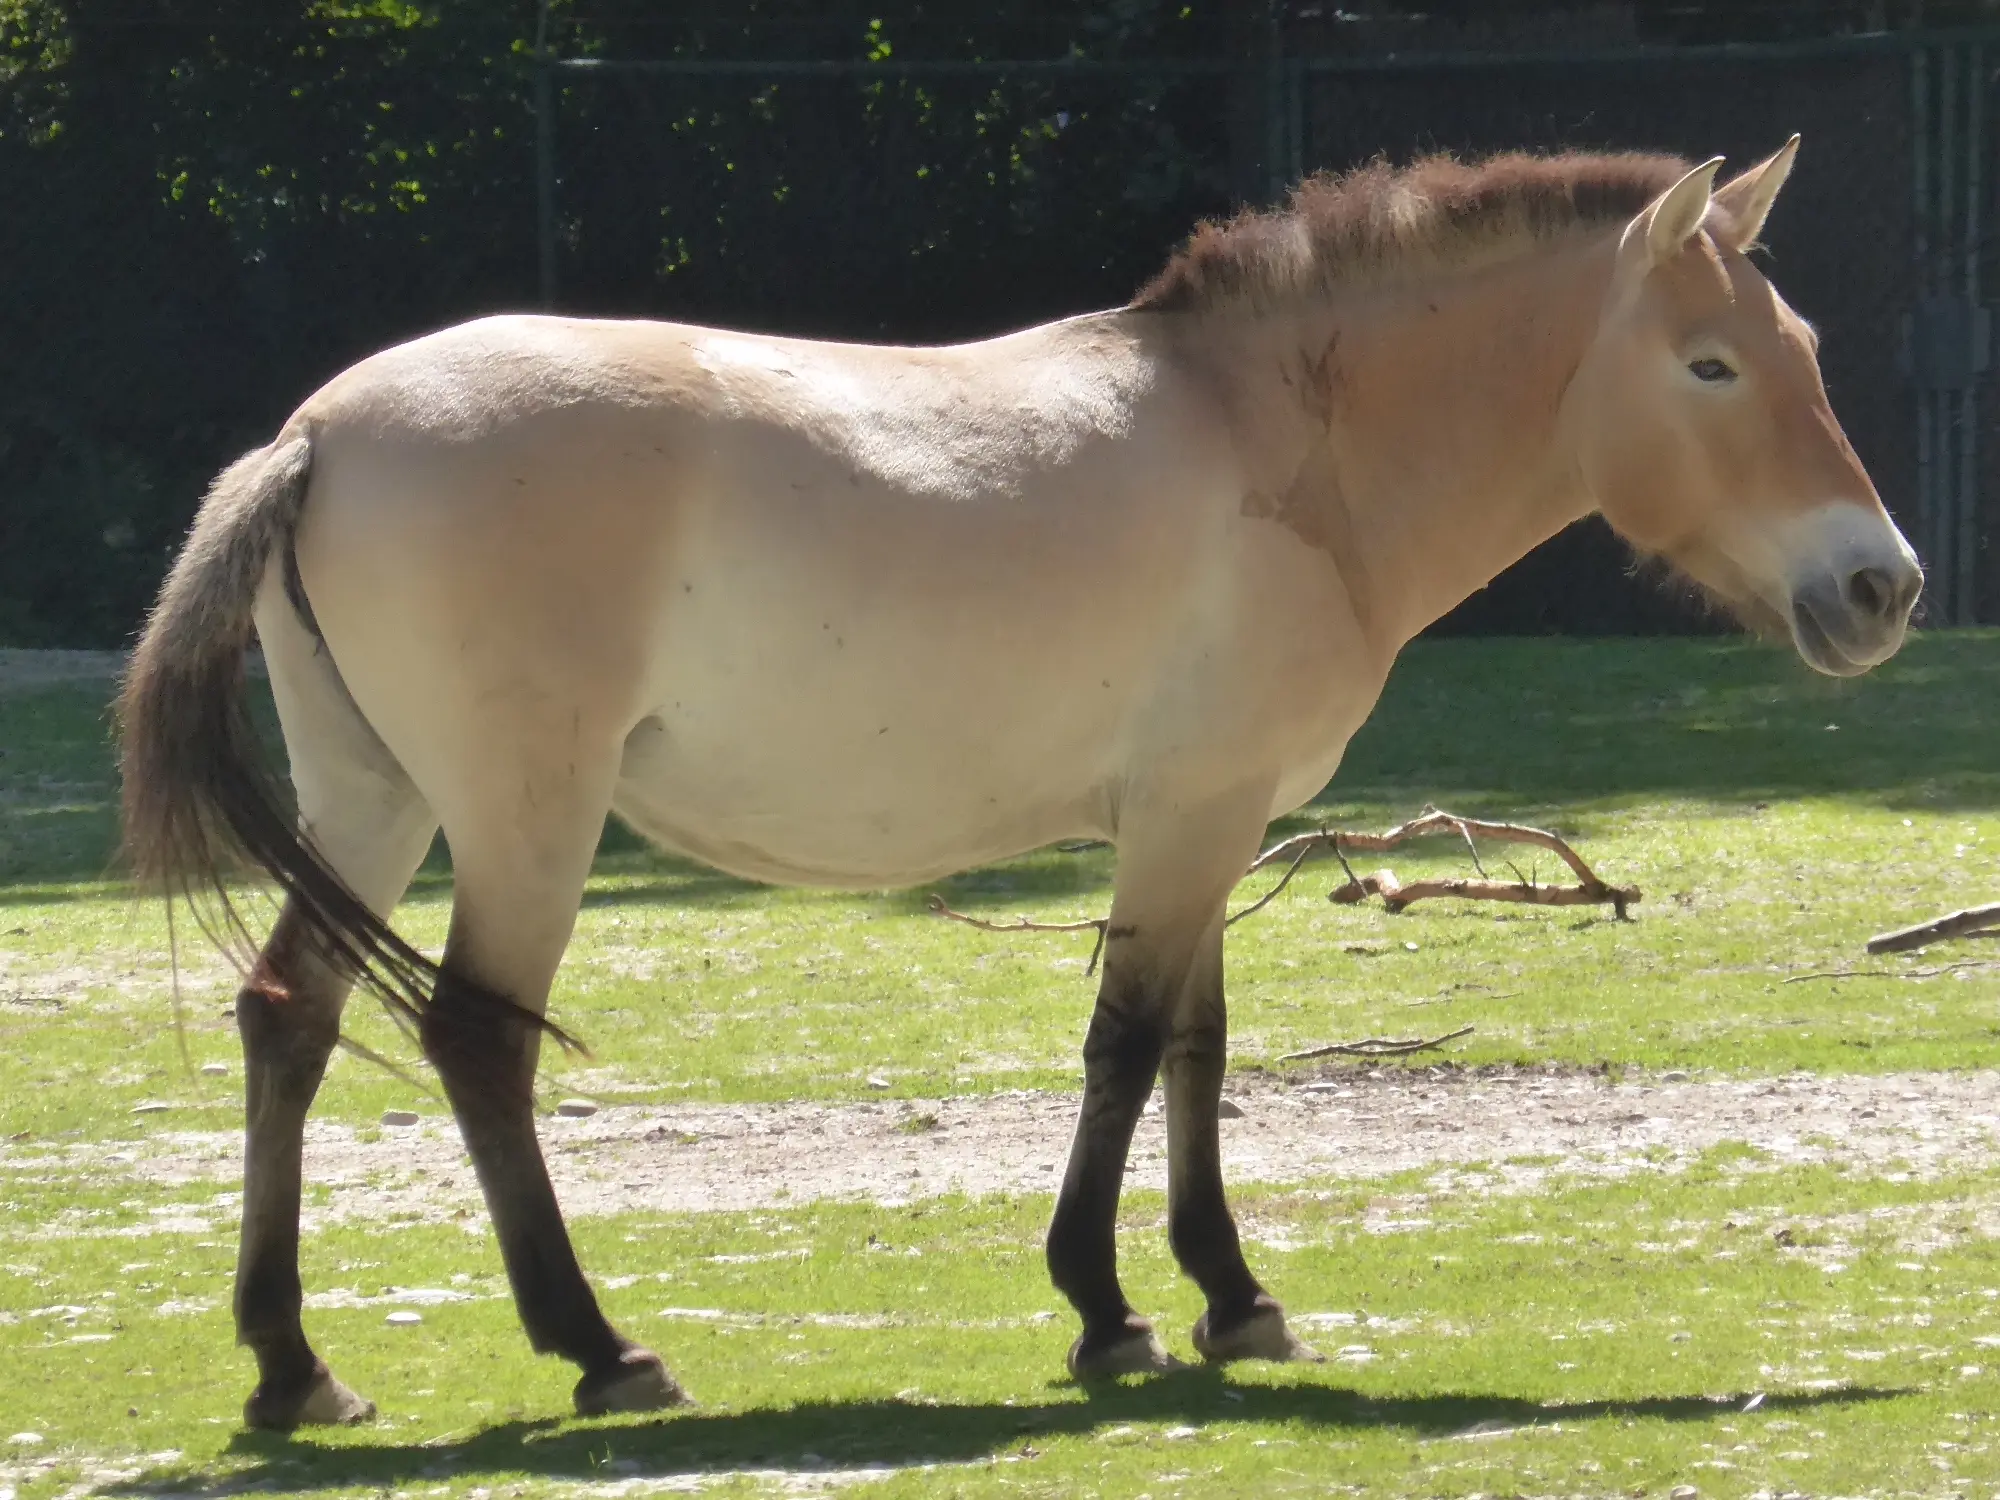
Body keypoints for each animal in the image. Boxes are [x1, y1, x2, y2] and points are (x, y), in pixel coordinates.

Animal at [121, 141, 1920, 1432]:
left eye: (1803, 347)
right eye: (1710, 366)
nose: (1880, 588)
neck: (1284, 444)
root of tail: (320, 434)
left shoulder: (1210, 822)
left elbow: (1196, 1048)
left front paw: (1230, 1298)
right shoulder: (1193, 818)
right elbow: (1128, 1047)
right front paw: (1109, 1312)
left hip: (376, 803)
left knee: (287, 1016)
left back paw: (294, 1370)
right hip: (522, 819)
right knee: (476, 1040)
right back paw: (601, 1350)